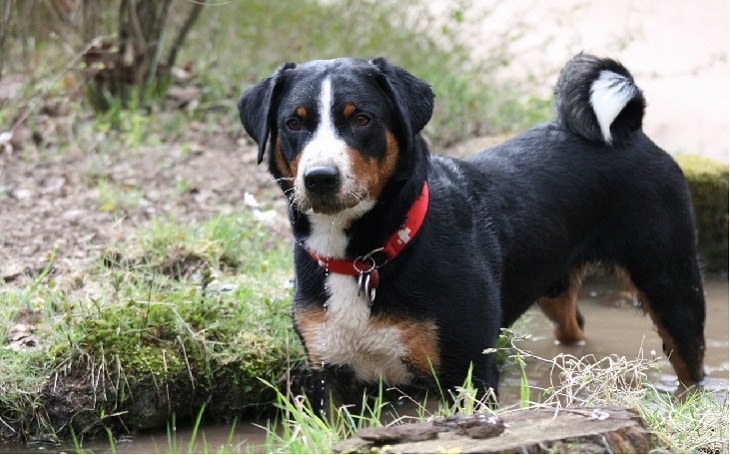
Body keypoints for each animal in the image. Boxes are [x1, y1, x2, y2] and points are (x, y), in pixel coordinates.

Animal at [236, 51, 704, 408]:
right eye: (295, 123)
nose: (320, 177)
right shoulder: (331, 377)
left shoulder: (469, 372)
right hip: (555, 291)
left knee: (688, 363)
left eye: (361, 119)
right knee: (574, 326)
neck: (363, 257)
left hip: (671, 284)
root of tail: (630, 131)